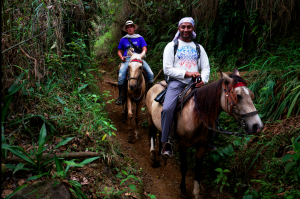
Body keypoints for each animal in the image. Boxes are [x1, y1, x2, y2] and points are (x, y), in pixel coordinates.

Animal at [146, 69, 264, 198]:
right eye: (238, 96)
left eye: (251, 95)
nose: (257, 126)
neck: (196, 115)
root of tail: (157, 84)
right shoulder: (183, 145)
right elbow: (184, 167)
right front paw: (183, 190)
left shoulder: (202, 146)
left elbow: (198, 169)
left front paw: (197, 193)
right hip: (150, 118)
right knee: (152, 133)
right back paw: (153, 157)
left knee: (161, 134)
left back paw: (162, 156)